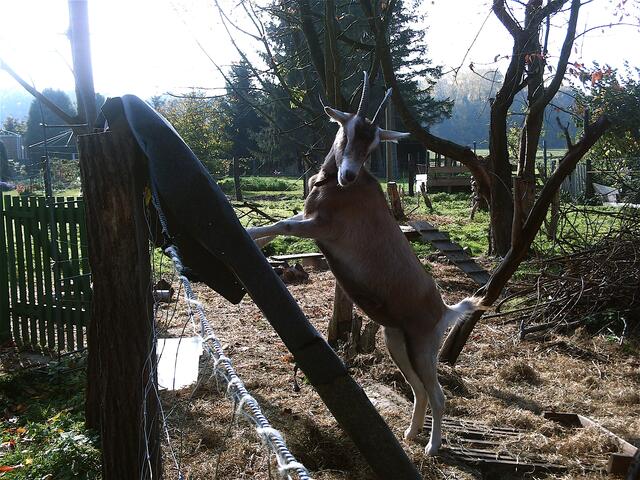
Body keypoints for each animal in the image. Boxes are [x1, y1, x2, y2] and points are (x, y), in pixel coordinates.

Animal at [246, 73, 485, 455]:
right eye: (349, 130)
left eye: (373, 144)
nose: (347, 175)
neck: (338, 187)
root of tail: (445, 310)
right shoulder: (309, 217)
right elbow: (277, 229)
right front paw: (254, 239)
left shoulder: (321, 226)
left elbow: (281, 224)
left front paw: (245, 230)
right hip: (397, 342)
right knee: (418, 389)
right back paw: (410, 434)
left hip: (423, 348)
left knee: (437, 394)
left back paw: (432, 447)